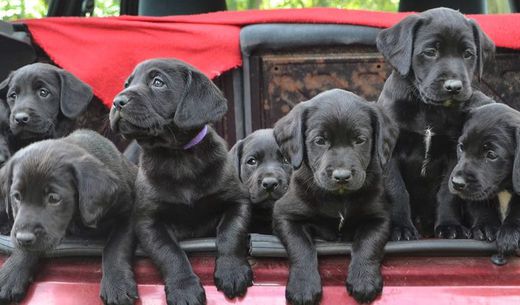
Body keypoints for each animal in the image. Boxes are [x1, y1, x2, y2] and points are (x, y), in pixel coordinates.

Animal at [0, 129, 138, 304]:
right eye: (16, 196)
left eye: (53, 198)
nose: (24, 238)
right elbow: (26, 247)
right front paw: (10, 274)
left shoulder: (128, 212)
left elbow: (115, 245)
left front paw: (117, 282)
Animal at [110, 57, 253, 304]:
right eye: (127, 84)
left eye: (158, 82)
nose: (117, 101)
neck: (176, 157)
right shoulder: (148, 221)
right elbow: (170, 252)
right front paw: (184, 289)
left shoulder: (237, 201)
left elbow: (231, 232)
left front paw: (232, 271)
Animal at [272, 88, 398, 304]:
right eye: (320, 141)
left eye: (360, 139)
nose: (342, 176)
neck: (339, 198)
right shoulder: (284, 214)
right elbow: (300, 245)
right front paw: (303, 287)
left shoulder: (380, 216)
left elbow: (368, 241)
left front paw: (364, 280)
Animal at [378, 7, 496, 239]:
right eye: (430, 52)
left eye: (468, 54)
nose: (454, 86)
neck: (428, 108)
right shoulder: (390, 153)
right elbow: (396, 191)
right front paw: (399, 228)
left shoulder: (453, 153)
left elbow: (447, 193)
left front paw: (450, 226)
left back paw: (485, 226)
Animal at [448, 103, 520, 255]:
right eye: (461, 147)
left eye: (491, 155)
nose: (457, 183)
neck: (504, 188)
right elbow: (479, 205)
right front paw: (486, 226)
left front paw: (510, 232)